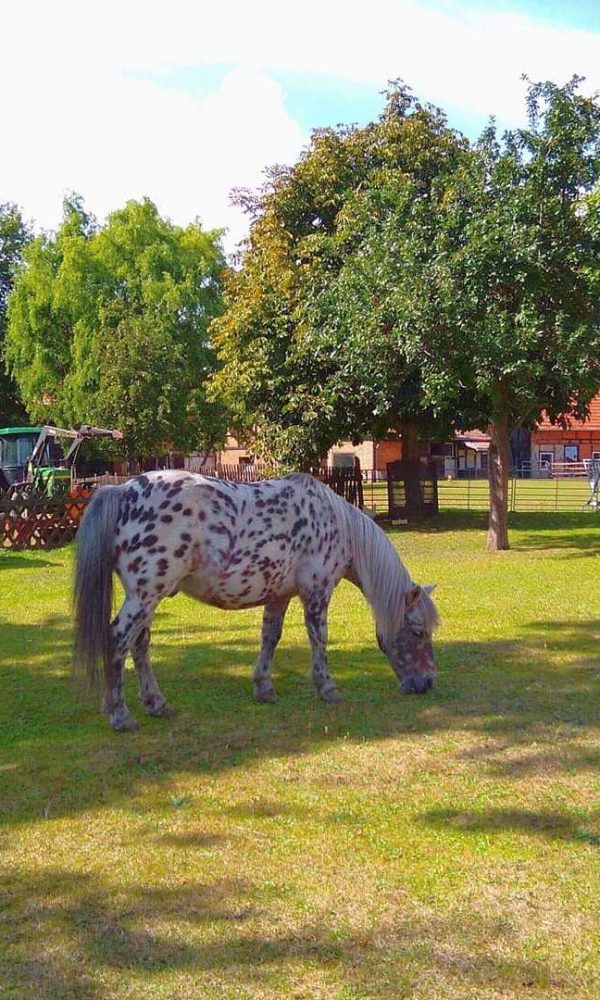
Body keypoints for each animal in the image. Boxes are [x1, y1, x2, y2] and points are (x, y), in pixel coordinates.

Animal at [73, 471, 439, 731]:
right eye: (417, 631)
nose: (427, 683)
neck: (337, 525)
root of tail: (122, 491)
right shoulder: (317, 594)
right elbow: (319, 639)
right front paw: (328, 688)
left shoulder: (279, 596)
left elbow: (270, 637)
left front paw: (264, 688)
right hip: (144, 596)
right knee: (119, 639)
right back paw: (121, 716)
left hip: (149, 598)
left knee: (140, 644)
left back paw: (156, 704)